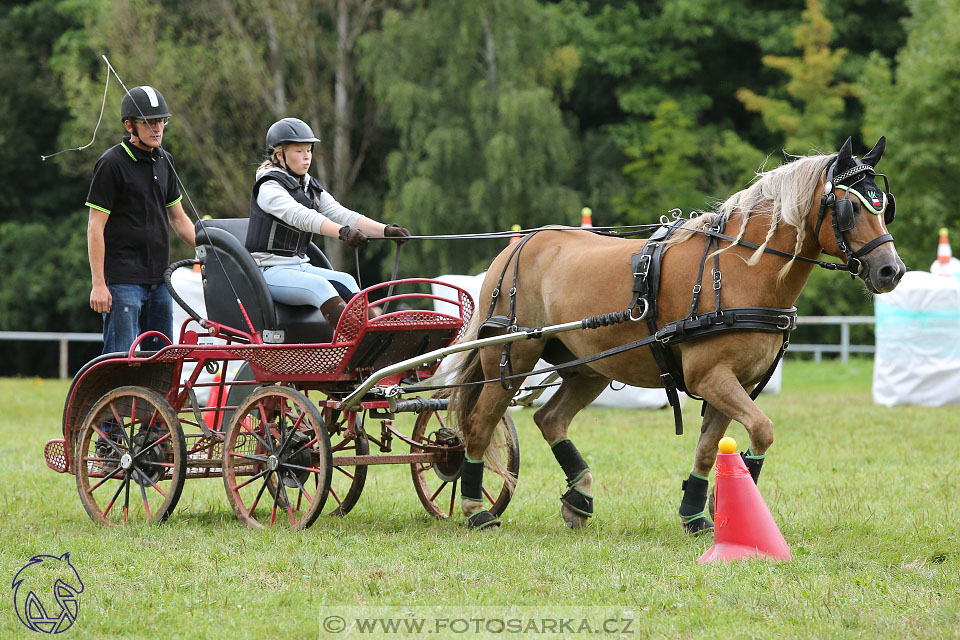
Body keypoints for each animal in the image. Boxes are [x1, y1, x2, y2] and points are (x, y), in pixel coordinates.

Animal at [446, 138, 904, 532]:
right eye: (850, 208)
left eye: (884, 207)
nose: (891, 270)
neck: (737, 272)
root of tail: (518, 245)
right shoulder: (711, 377)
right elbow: (762, 429)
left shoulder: (733, 383)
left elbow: (709, 448)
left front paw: (697, 514)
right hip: (511, 358)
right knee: (480, 423)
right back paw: (475, 509)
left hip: (588, 368)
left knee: (550, 418)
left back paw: (579, 499)